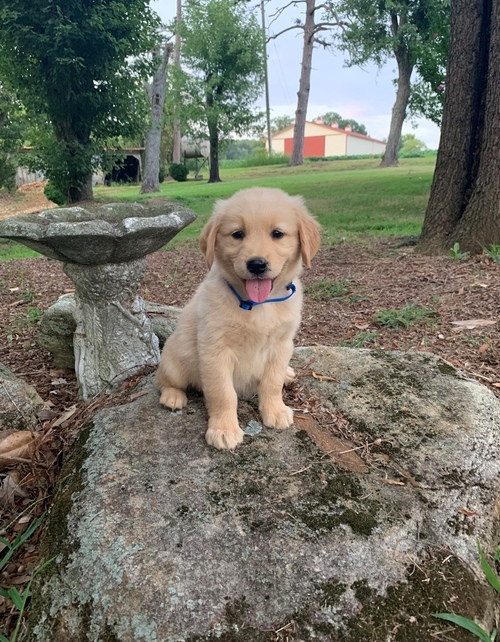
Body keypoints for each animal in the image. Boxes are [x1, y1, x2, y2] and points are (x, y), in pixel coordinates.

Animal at [154, 184, 322, 444]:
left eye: (277, 234)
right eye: (237, 234)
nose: (257, 264)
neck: (259, 304)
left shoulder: (282, 344)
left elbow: (272, 382)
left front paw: (275, 410)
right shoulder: (215, 350)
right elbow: (223, 393)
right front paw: (223, 429)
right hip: (176, 362)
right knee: (162, 380)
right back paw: (172, 396)